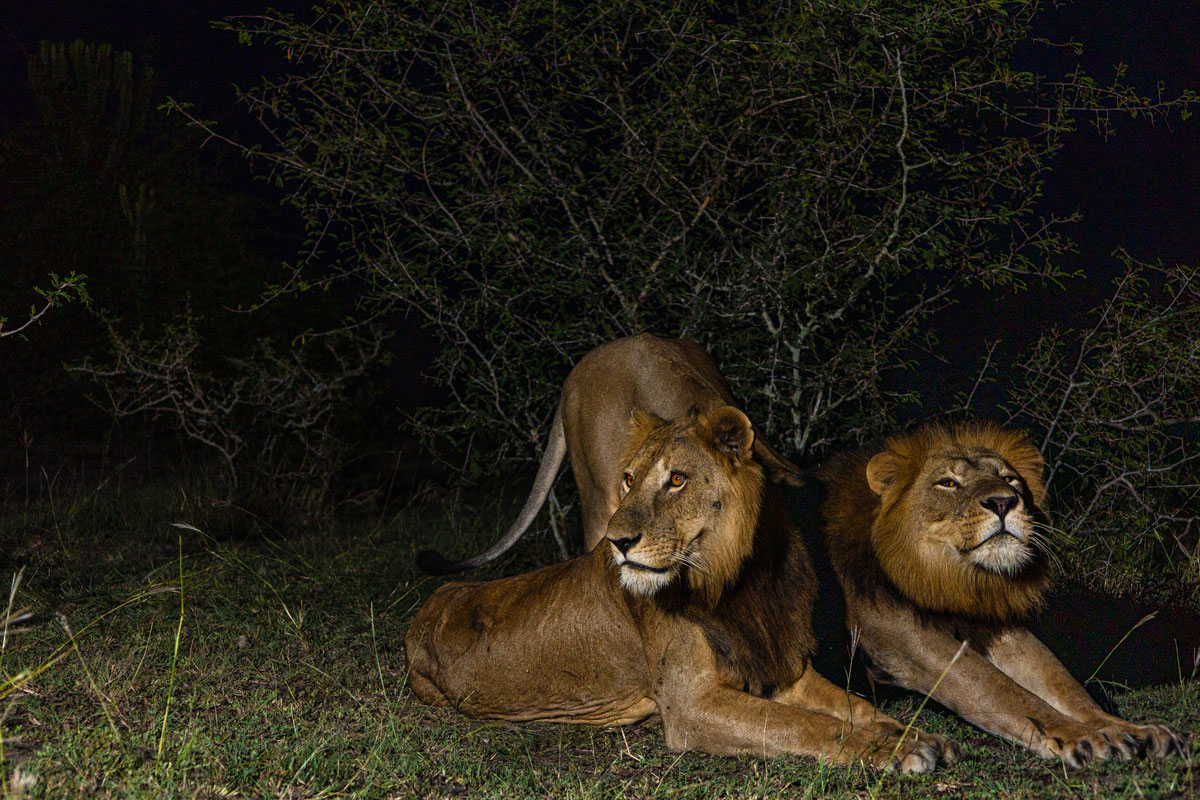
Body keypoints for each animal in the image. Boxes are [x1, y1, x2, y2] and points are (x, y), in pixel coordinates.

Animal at [406, 406, 960, 771]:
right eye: (628, 480)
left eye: (676, 480)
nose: (616, 541)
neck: (737, 581)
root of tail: (429, 604)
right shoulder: (691, 706)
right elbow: (803, 725)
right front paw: (896, 750)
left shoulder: (779, 668)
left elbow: (856, 706)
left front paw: (914, 734)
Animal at [817, 422, 1185, 768]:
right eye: (947, 483)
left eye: (1008, 479)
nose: (1003, 501)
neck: (952, 579)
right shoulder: (906, 638)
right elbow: (1002, 692)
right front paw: (1084, 737)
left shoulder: (994, 625)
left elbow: (1065, 687)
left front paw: (1127, 730)